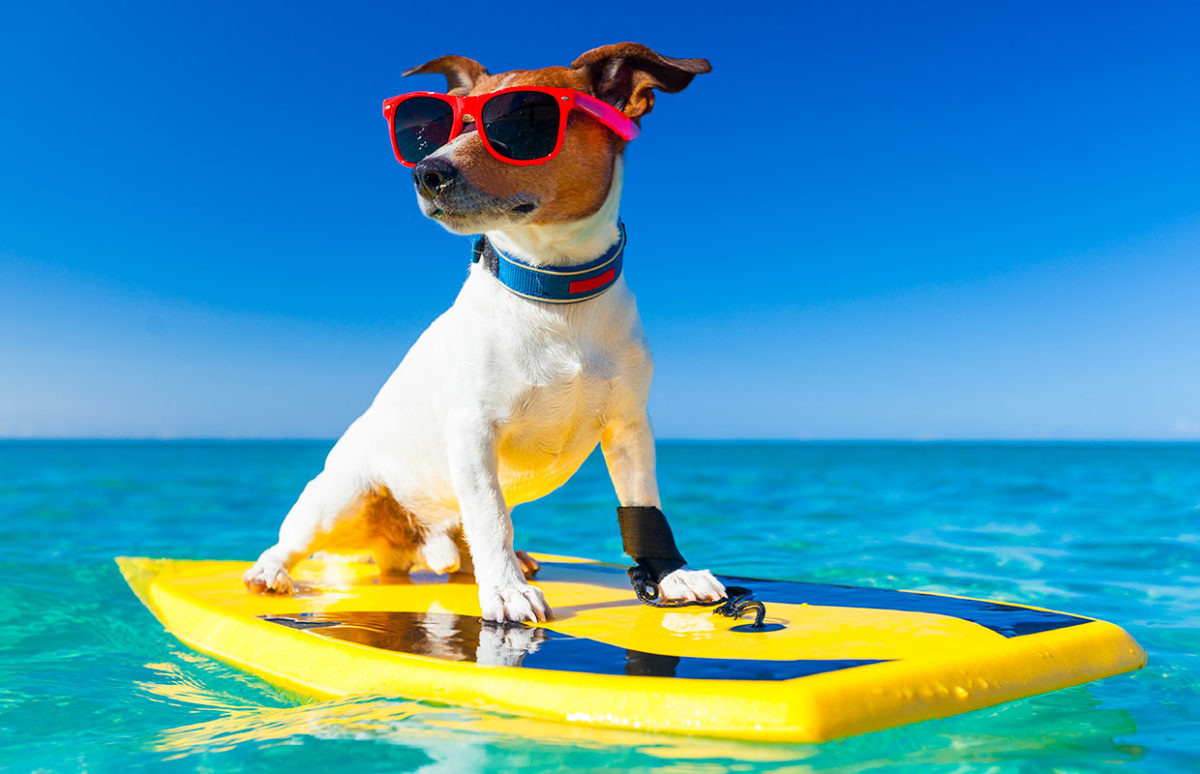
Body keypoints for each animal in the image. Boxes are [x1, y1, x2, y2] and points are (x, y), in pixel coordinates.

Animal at [243, 40, 720, 624]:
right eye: (441, 130)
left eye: (519, 123)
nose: (426, 172)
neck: (551, 291)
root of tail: (407, 545)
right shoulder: (473, 431)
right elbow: (491, 514)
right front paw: (506, 591)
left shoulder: (629, 429)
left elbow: (642, 506)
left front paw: (671, 575)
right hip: (340, 500)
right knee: (293, 540)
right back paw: (271, 571)